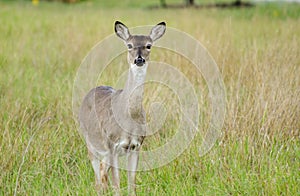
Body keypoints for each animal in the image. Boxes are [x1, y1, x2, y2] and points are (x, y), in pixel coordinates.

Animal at [77, 20, 166, 195]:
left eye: (149, 45)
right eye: (129, 45)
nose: (139, 59)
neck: (129, 117)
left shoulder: (136, 146)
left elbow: (132, 184)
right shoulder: (112, 146)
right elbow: (117, 184)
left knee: (102, 174)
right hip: (90, 142)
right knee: (97, 179)